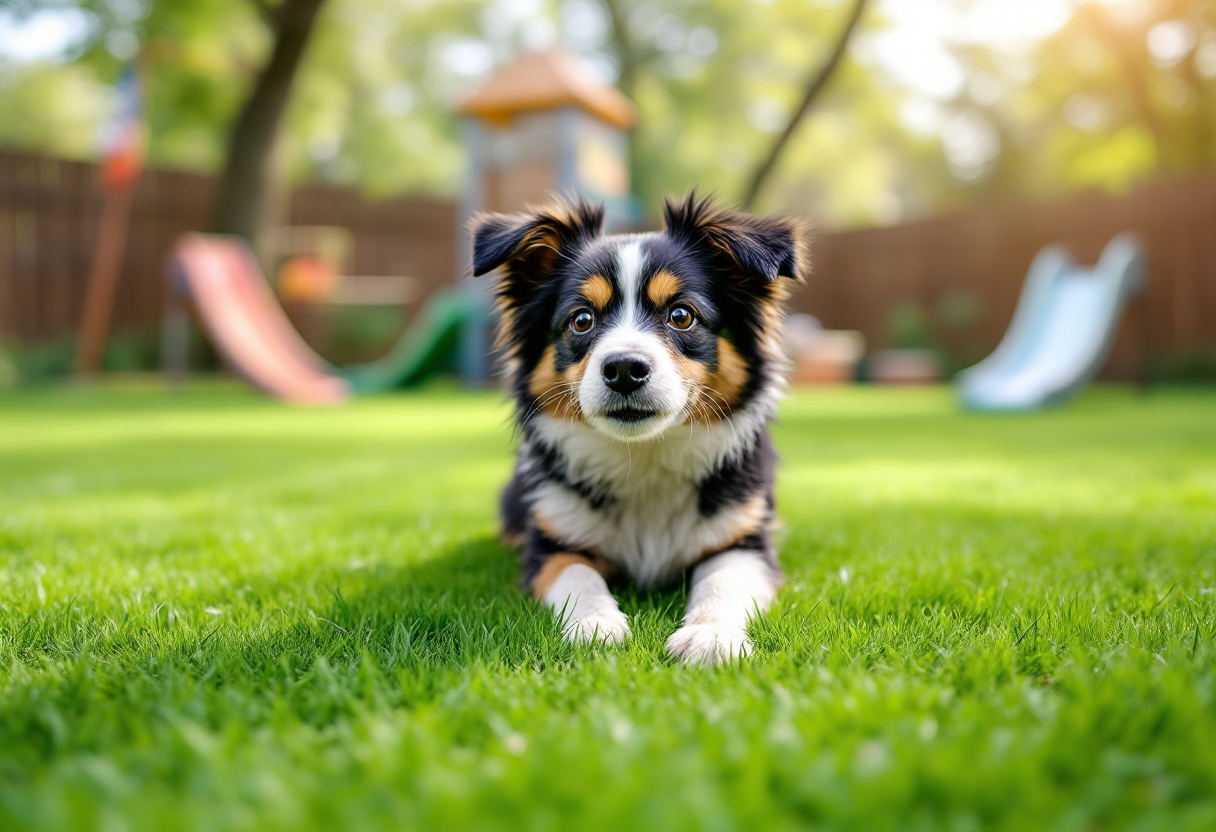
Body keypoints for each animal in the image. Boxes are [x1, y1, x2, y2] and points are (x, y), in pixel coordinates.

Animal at [466, 192, 807, 666]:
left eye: (681, 315)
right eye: (581, 320)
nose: (625, 368)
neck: (644, 454)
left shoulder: (743, 540)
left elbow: (722, 581)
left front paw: (710, 635)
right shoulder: (553, 544)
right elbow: (577, 576)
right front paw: (594, 625)